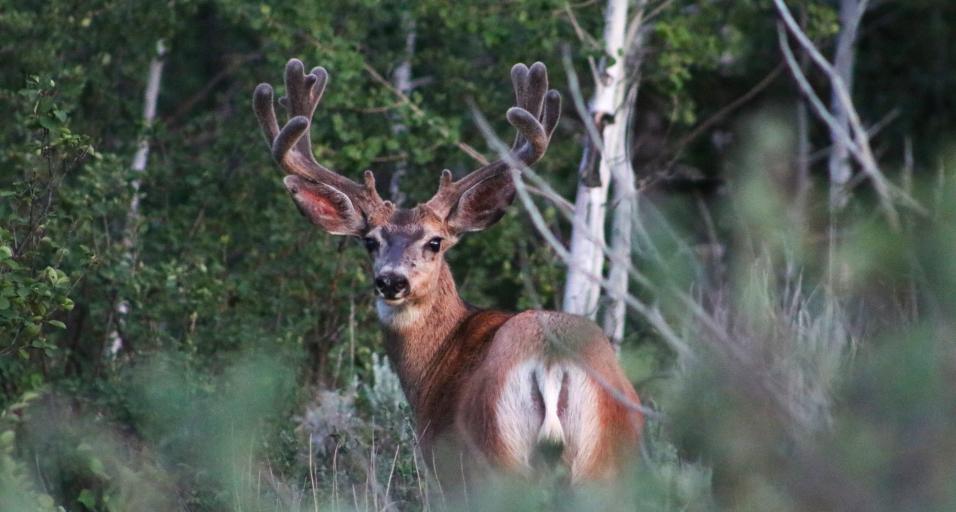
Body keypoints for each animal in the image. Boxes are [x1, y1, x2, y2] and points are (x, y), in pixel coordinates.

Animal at [253, 58, 643, 484]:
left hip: (494, 454)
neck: (436, 360)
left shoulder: (446, 465)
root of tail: (552, 362)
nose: (391, 280)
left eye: (435, 241)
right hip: (605, 462)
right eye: (370, 240)